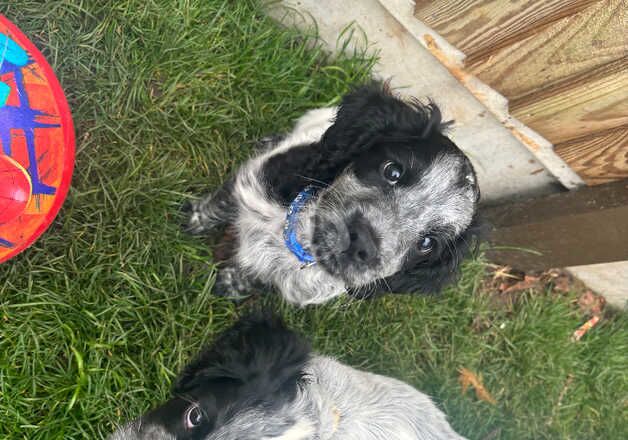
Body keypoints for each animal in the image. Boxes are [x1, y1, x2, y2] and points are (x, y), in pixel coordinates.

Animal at [185, 84, 480, 306]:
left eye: (426, 243)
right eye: (392, 171)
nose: (362, 243)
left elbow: (258, 277)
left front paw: (232, 284)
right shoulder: (253, 181)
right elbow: (222, 202)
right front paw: (195, 220)